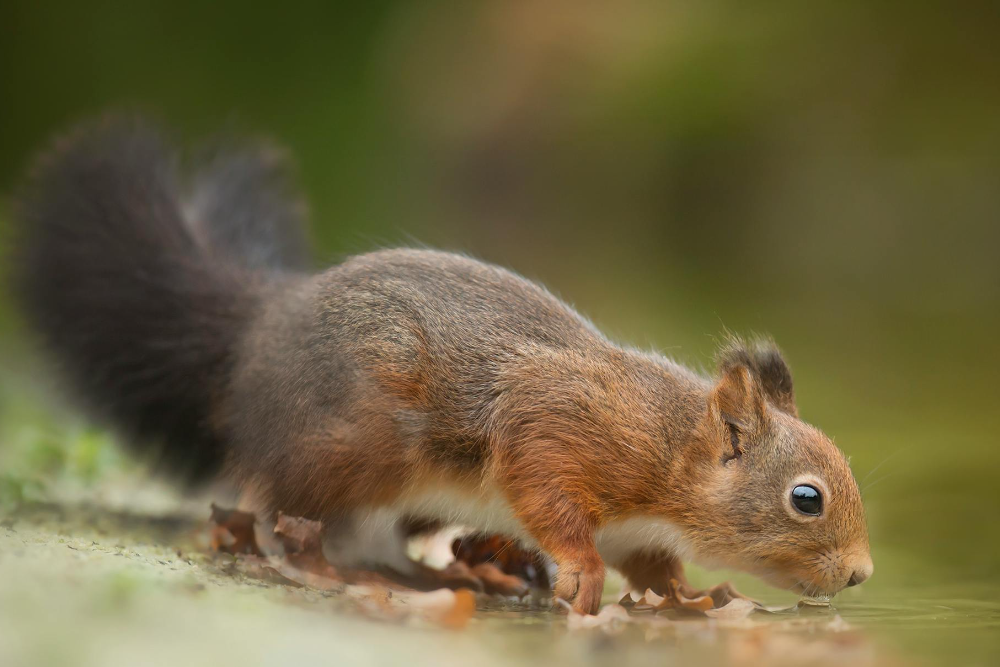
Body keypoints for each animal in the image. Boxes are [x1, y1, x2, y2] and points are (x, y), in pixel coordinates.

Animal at [11, 116, 872, 616]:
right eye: (806, 498)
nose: (863, 575)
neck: (670, 447)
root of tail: (259, 329)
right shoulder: (564, 424)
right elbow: (545, 484)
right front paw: (581, 570)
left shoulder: (642, 523)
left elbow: (654, 564)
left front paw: (687, 594)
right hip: (351, 446)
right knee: (281, 511)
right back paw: (345, 571)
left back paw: (482, 570)